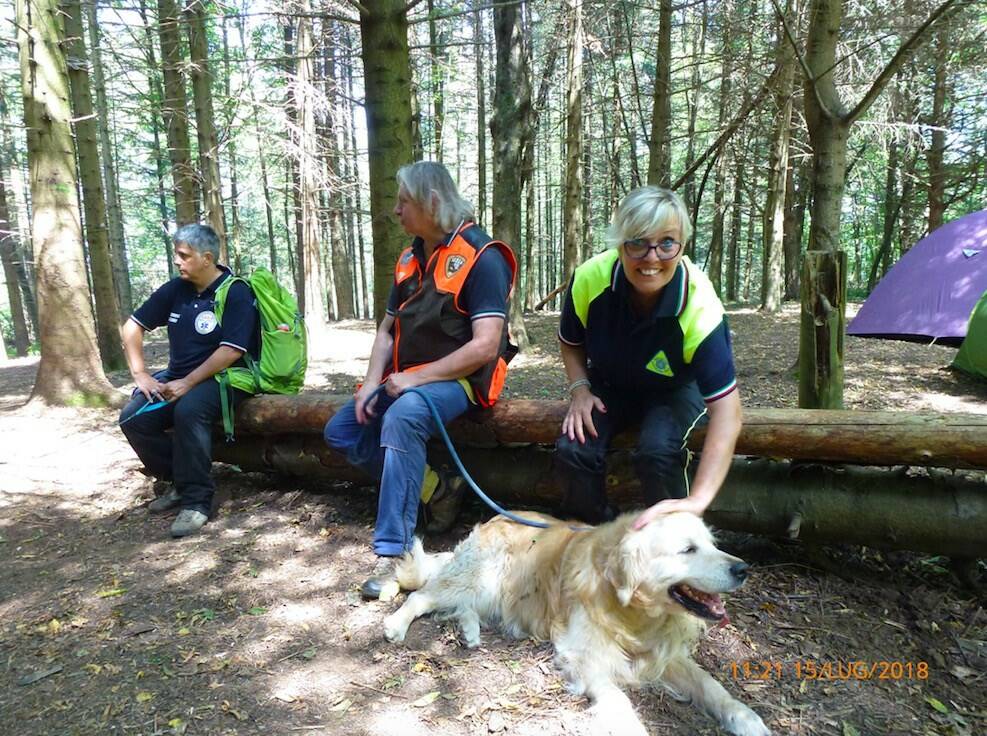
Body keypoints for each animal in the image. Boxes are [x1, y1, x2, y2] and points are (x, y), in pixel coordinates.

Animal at [382, 512, 768, 736]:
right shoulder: (584, 655)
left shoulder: (664, 653)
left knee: (462, 607)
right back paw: (396, 625)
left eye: (712, 544)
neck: (634, 613)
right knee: (421, 597)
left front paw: (747, 718)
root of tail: (492, 520)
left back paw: (470, 632)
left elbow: (710, 685)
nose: (742, 568)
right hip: (478, 577)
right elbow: (620, 702)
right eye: (687, 549)